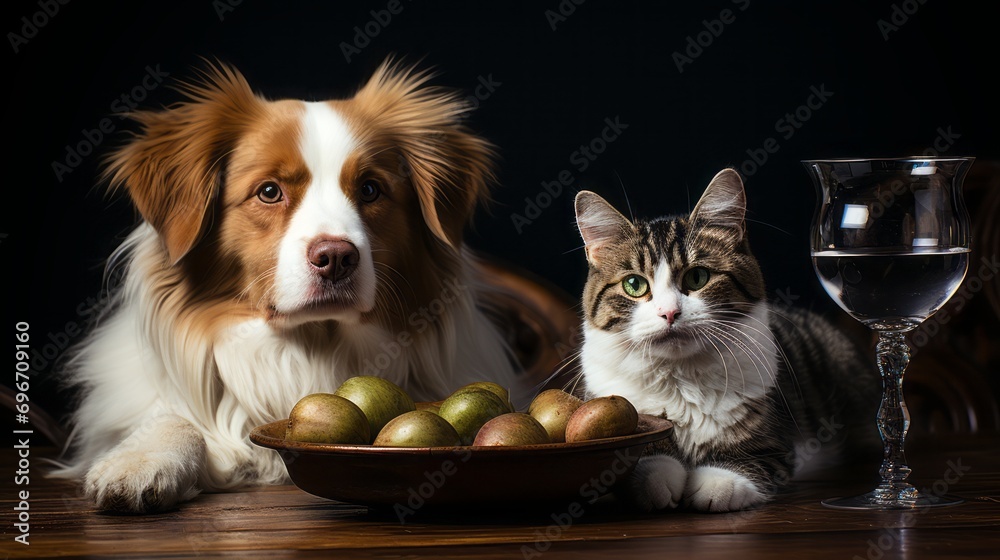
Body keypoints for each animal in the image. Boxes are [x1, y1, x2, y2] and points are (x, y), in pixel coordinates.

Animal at [52, 60, 524, 512]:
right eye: (268, 191)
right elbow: (174, 417)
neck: (310, 348)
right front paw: (141, 460)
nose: (336, 258)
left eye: (371, 189)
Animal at [580, 170, 876, 512]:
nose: (669, 313)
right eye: (634, 284)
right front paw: (660, 474)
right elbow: (640, 460)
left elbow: (747, 463)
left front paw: (714, 483)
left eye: (697, 278)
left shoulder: (774, 443)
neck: (679, 379)